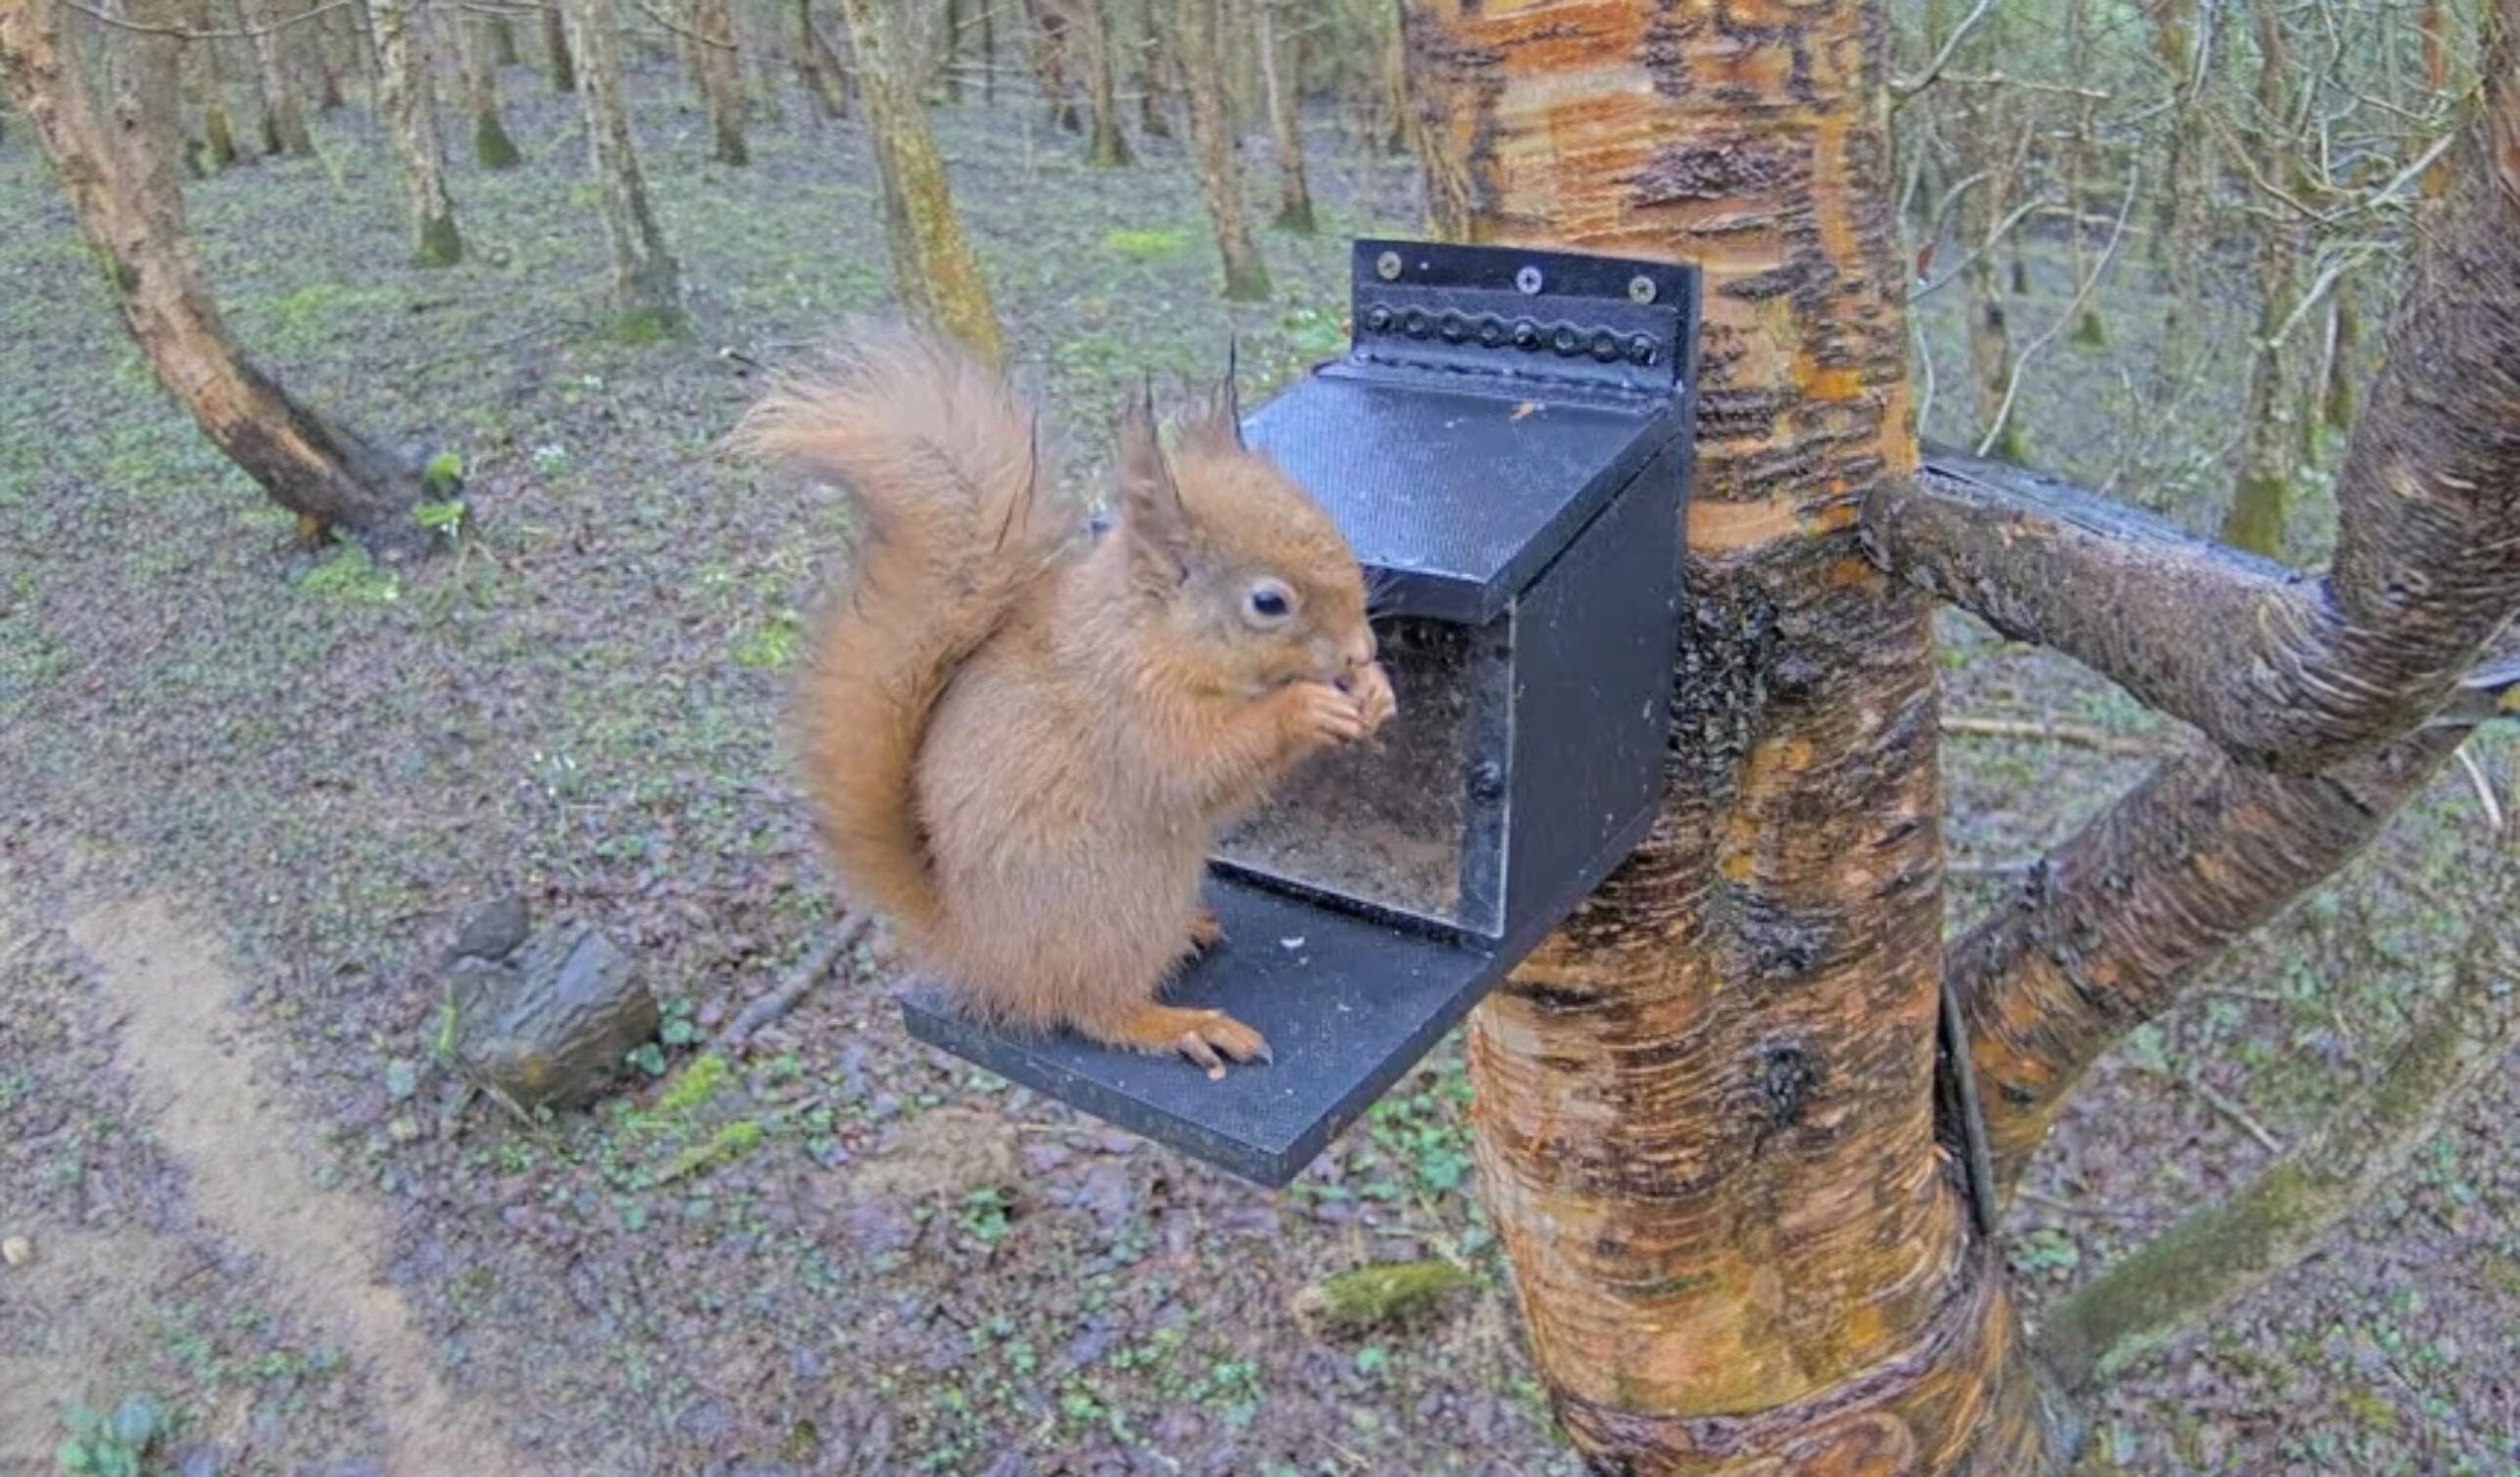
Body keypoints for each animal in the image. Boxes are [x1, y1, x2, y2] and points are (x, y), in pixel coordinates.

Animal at [732, 327, 1394, 1073]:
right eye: (1269, 603)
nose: (1360, 651)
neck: (1150, 632)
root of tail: (981, 953)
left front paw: (1376, 691)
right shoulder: (1125, 708)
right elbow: (1196, 765)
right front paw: (1304, 709)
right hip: (1117, 902)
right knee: (1092, 1007)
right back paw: (1179, 1024)